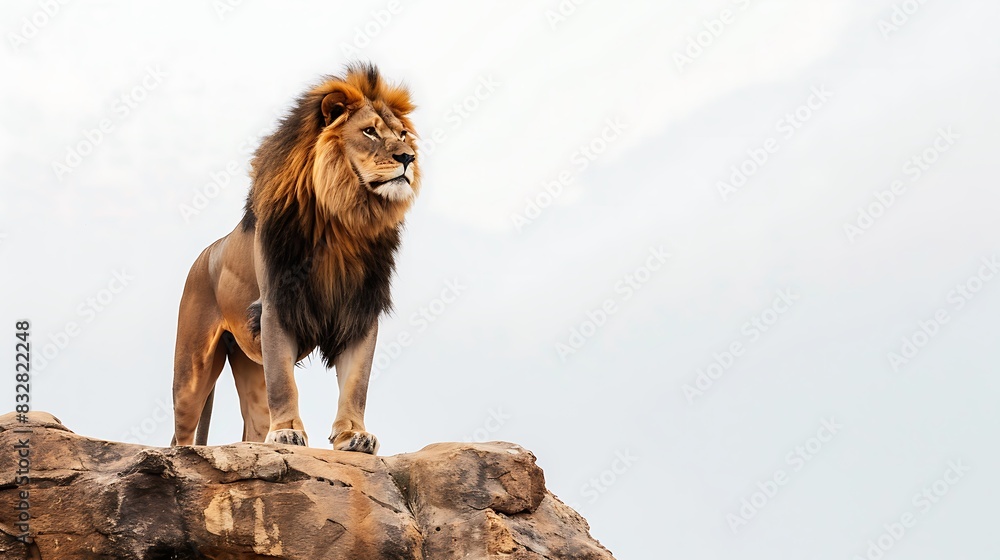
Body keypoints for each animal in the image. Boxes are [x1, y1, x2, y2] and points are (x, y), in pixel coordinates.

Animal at [171, 63, 420, 453]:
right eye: (369, 132)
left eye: (403, 134)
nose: (408, 157)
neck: (343, 221)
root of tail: (206, 253)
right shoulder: (276, 306)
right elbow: (284, 384)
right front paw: (288, 431)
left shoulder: (360, 310)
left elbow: (356, 384)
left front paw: (353, 435)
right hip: (191, 370)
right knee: (181, 431)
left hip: (248, 360)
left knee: (254, 426)